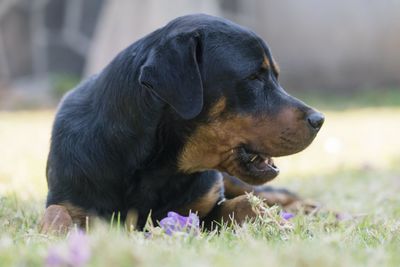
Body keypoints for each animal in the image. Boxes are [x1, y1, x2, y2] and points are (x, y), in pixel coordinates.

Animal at [39, 13, 324, 233]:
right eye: (254, 77)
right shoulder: (75, 201)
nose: (319, 119)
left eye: (275, 76)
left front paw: (280, 224)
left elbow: (246, 203)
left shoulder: (204, 207)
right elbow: (55, 212)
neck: (158, 167)